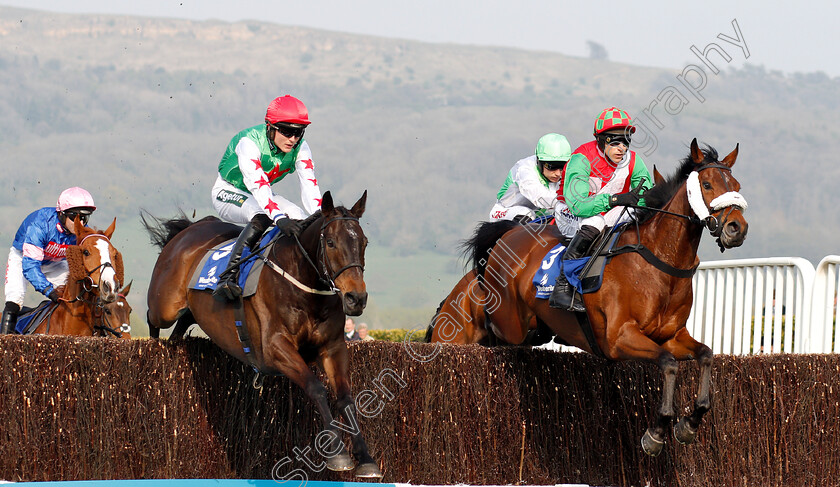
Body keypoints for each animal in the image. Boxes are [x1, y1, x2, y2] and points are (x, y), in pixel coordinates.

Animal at [144, 193, 380, 478]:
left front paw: (366, 459)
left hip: (189, 309)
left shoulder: (333, 348)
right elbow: (317, 388)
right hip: (164, 305)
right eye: (331, 242)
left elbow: (346, 399)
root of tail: (190, 229)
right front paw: (337, 453)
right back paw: (151, 346)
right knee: (152, 317)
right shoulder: (275, 348)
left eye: (364, 242)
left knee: (183, 323)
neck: (304, 286)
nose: (356, 298)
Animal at [466, 140, 748, 458]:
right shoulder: (618, 339)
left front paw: (690, 422)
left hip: (534, 328)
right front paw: (656, 431)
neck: (658, 261)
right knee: (491, 335)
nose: (737, 228)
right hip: (509, 325)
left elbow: (706, 355)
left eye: (736, 185)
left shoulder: (672, 336)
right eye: (707, 184)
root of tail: (510, 233)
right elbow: (668, 364)